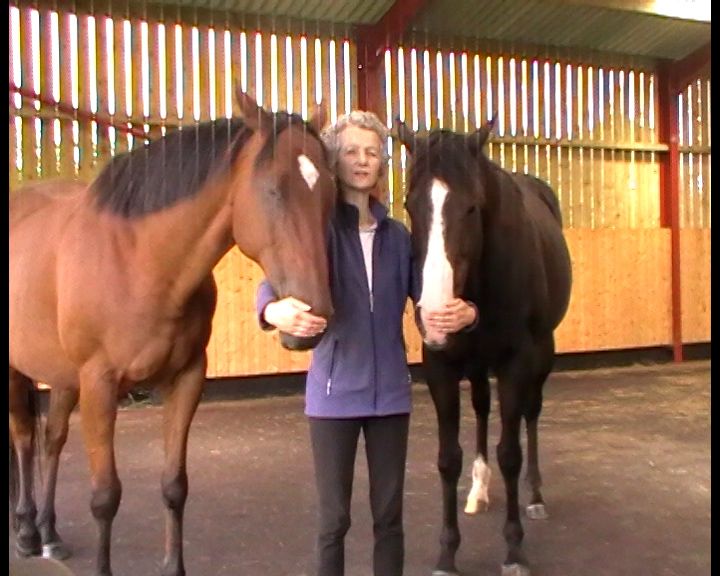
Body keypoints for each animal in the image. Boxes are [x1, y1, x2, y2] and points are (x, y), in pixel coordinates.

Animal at [9, 88, 337, 576]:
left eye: (330, 191)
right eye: (273, 189)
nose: (313, 320)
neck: (140, 262)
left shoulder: (186, 378)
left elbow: (174, 485)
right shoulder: (99, 385)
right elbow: (105, 496)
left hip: (62, 376)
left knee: (51, 441)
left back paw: (49, 533)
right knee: (25, 440)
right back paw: (28, 532)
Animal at [395, 119, 572, 576]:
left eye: (473, 208)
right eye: (409, 205)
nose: (436, 314)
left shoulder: (516, 362)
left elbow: (510, 453)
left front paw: (514, 550)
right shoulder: (440, 365)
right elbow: (447, 458)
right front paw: (447, 554)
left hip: (542, 355)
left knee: (530, 413)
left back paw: (536, 496)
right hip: (474, 365)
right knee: (479, 409)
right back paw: (477, 490)